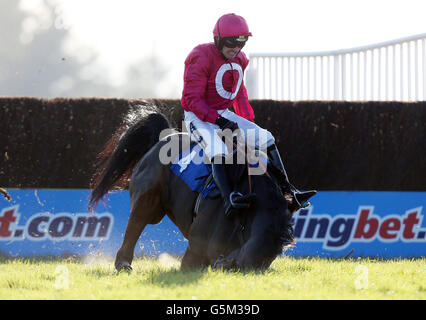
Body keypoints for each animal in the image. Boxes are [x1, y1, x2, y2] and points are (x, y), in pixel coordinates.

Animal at [88, 106, 302, 272]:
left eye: (271, 258)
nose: (229, 264)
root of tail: (163, 138)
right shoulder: (195, 250)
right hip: (148, 203)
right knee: (135, 224)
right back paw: (123, 263)